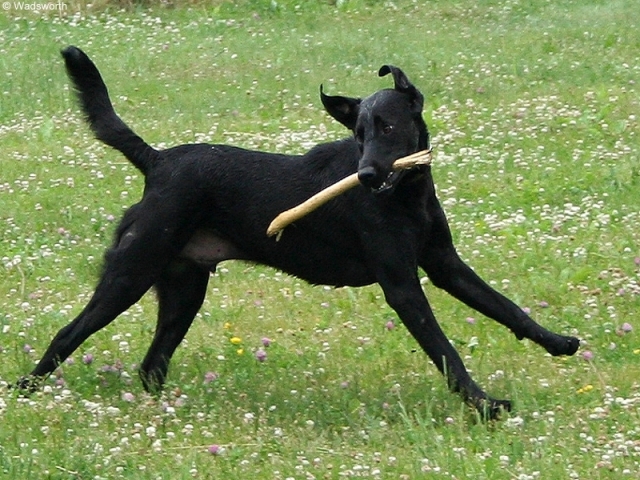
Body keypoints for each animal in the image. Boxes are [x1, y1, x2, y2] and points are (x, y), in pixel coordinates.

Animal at [20, 47, 580, 418]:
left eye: (389, 127)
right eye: (358, 134)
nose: (367, 175)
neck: (406, 195)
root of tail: (156, 162)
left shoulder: (445, 266)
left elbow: (506, 307)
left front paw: (556, 342)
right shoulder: (402, 285)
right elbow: (446, 351)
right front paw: (485, 405)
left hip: (183, 289)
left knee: (151, 364)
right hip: (131, 274)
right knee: (68, 334)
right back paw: (26, 391)